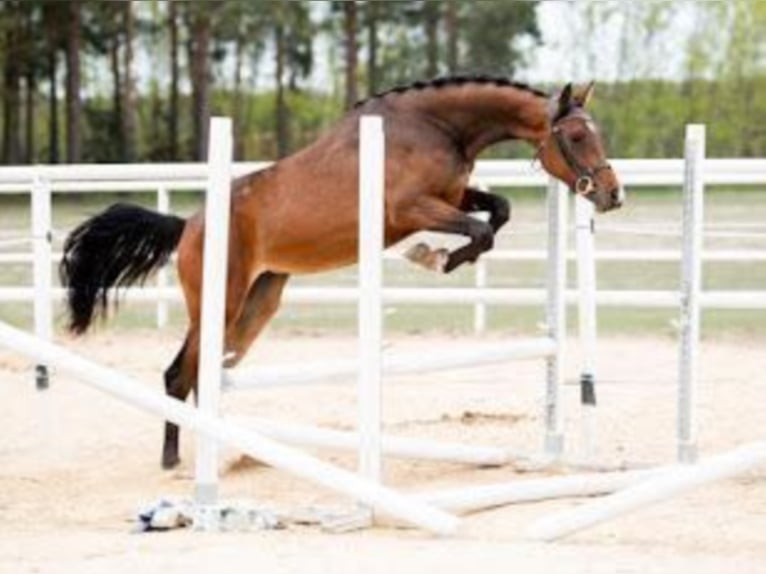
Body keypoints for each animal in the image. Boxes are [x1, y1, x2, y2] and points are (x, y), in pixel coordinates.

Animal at [60, 77, 624, 472]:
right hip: (219, 300)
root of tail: (189, 225)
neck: (438, 127)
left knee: (209, 372)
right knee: (180, 374)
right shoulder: (411, 208)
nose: (612, 195)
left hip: (257, 303)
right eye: (577, 136)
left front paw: (443, 255)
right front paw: (434, 257)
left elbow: (498, 210)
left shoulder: (451, 196)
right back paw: (174, 460)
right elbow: (481, 230)